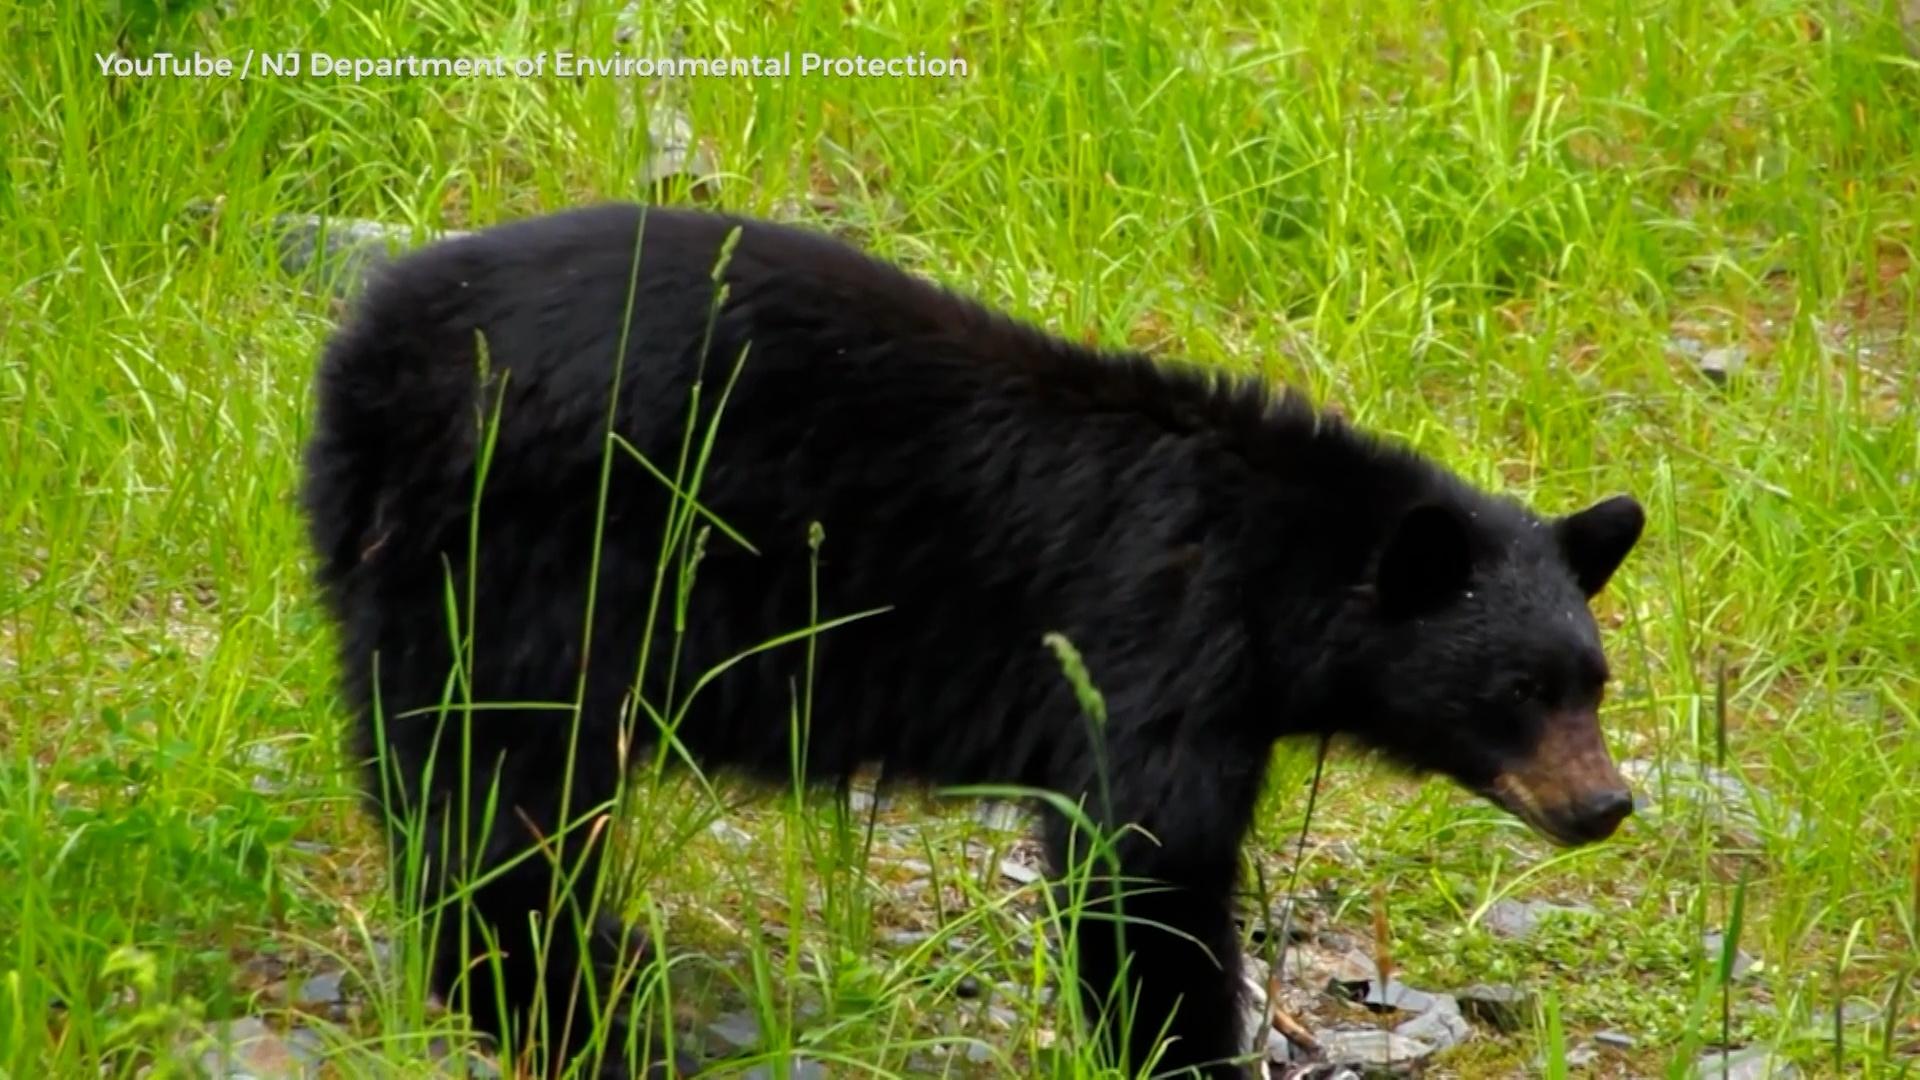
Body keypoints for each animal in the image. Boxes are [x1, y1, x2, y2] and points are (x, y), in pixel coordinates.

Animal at [295, 203, 1635, 1076]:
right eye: (1519, 686)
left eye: (1596, 682)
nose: (1606, 804)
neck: (1276, 565)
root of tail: (379, 357)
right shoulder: (1155, 647)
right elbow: (1142, 865)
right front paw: (1183, 1050)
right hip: (539, 570)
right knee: (502, 800)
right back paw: (585, 1010)